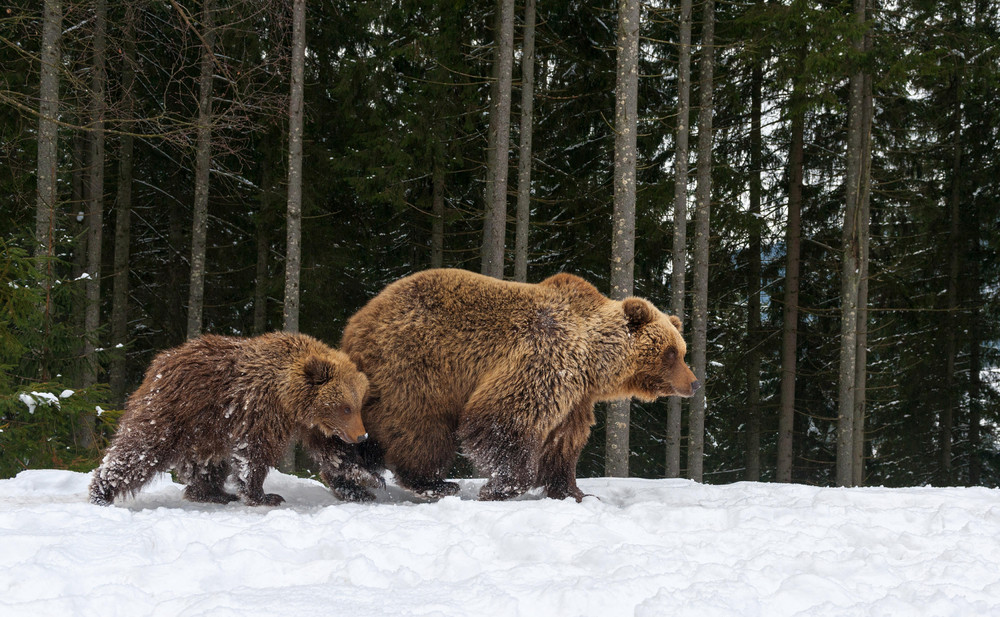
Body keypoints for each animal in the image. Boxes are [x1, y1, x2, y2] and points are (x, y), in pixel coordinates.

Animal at [316, 270, 700, 500]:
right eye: (671, 353)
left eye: (682, 350)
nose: (694, 383)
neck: (593, 362)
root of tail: (356, 324)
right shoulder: (545, 357)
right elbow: (504, 418)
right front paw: (501, 486)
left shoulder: (576, 396)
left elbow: (564, 441)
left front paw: (574, 491)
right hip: (416, 370)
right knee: (419, 430)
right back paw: (432, 482)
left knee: (367, 434)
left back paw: (350, 479)